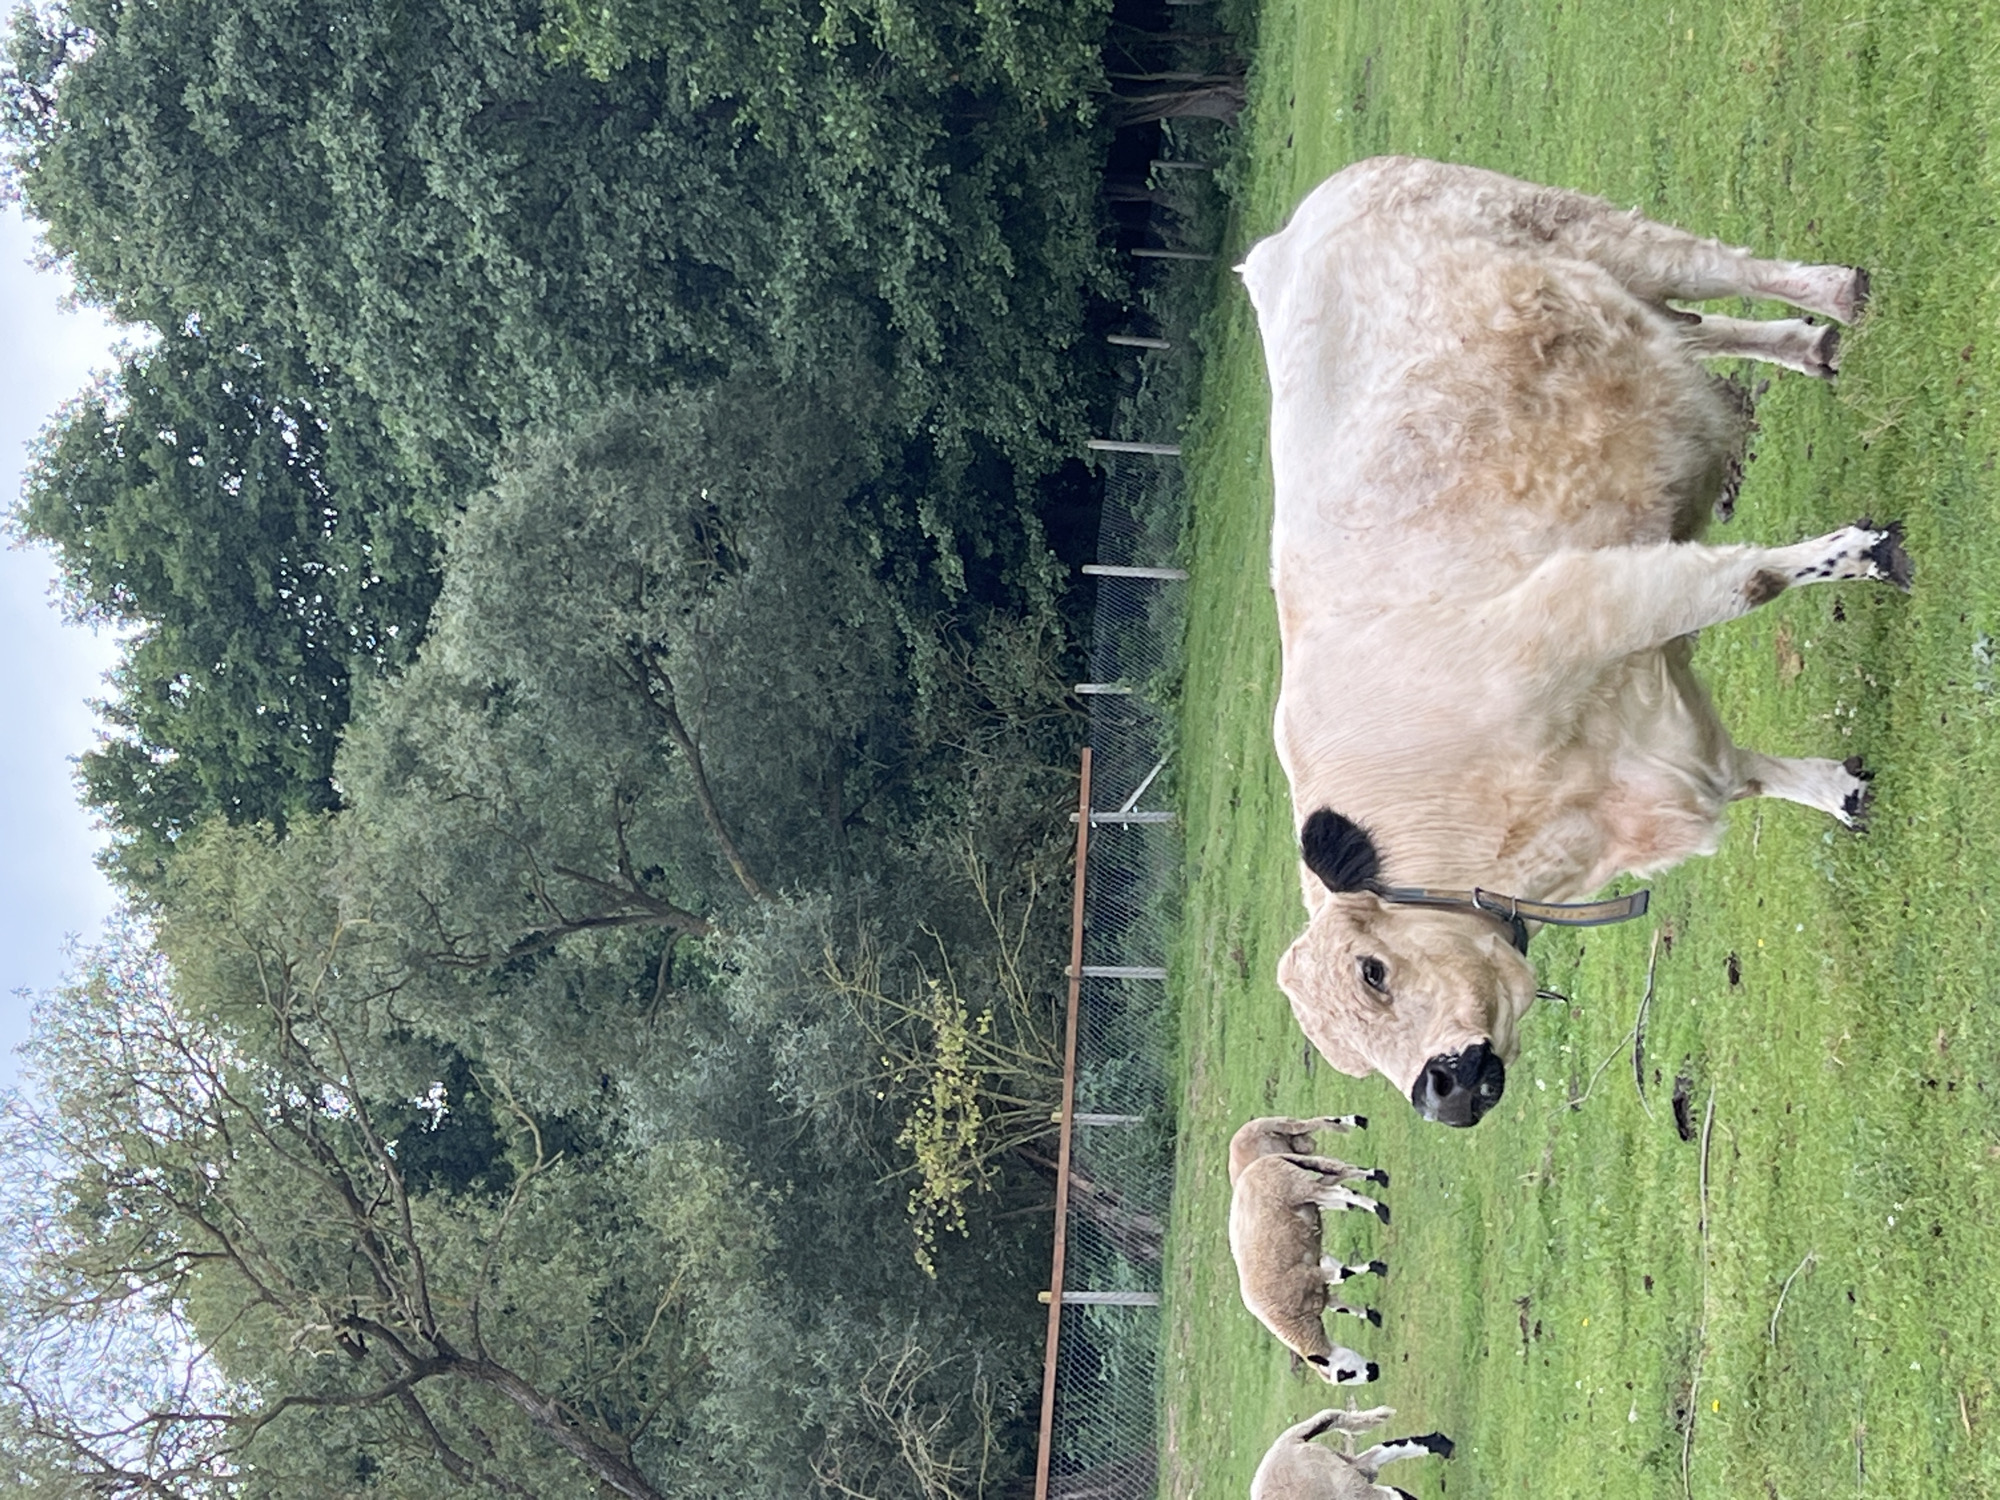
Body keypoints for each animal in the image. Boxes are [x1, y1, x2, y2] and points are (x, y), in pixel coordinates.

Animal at [1229, 1150, 1390, 1383]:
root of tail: (1262, 1162)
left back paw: (1381, 1210)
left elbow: (1343, 1273)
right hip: (1303, 1177)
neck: (1293, 1320)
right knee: (1343, 1173)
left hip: (1299, 1186)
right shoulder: (1319, 1291)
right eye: (1344, 1375)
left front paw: (1378, 1268)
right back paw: (1379, 1176)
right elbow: (1341, 1306)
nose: (1374, 1372)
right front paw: (1373, 1316)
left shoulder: (1310, 1275)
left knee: (1341, 1191)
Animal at [1237, 157, 1910, 1127]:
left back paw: (1836, 296)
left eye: (1373, 971)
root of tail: (1293, 227)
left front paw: (1866, 551)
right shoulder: (1657, 733)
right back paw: (1807, 346)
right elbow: (1751, 773)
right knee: (1693, 325)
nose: (1438, 1091)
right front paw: (1840, 791)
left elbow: (1753, 581)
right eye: (1353, 1066)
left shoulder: (1602, 599)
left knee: (1716, 270)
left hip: (1569, 222)